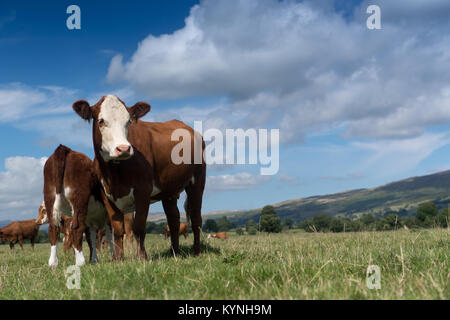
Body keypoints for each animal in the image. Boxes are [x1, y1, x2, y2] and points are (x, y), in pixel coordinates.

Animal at [73, 95, 207, 260]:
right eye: (101, 121)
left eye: (128, 121)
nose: (123, 149)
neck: (115, 173)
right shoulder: (105, 193)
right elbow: (117, 229)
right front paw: (117, 258)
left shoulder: (143, 191)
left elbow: (139, 227)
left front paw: (142, 257)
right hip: (169, 190)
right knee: (173, 220)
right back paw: (174, 252)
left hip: (197, 181)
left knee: (196, 218)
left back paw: (197, 251)